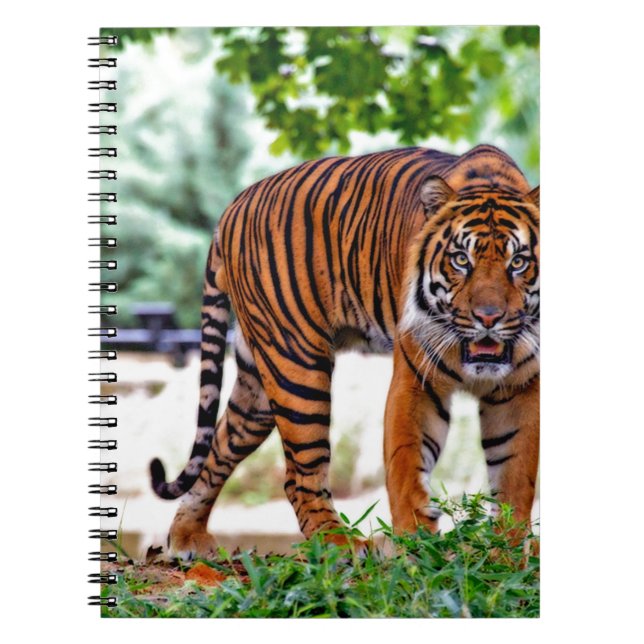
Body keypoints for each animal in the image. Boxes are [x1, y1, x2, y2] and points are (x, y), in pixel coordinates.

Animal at [150, 144, 540, 560]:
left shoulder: (521, 389)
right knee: (299, 475)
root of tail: (232, 207)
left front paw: (506, 552)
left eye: (518, 262)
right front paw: (417, 548)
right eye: (461, 260)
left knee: (219, 448)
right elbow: (407, 465)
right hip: (297, 367)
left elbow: (515, 476)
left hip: (257, 386)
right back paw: (340, 543)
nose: (488, 317)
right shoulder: (416, 380)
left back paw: (187, 536)